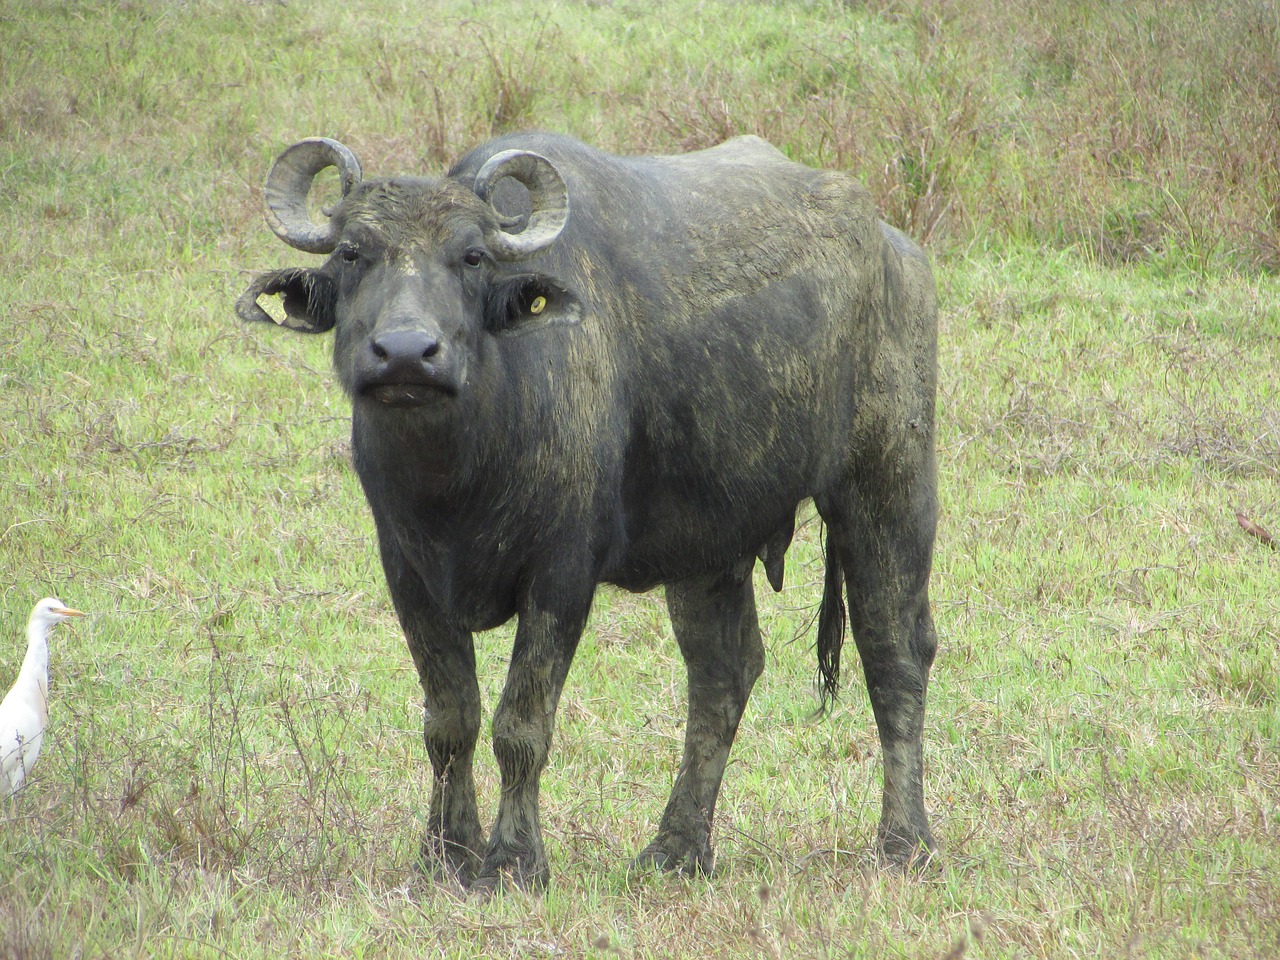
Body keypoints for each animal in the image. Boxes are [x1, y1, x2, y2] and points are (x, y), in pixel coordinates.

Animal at [238, 131, 942, 890]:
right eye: (351, 253)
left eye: (472, 257)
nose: (405, 353)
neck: (460, 470)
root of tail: (895, 249)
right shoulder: (408, 572)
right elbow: (450, 721)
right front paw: (446, 853)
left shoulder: (561, 572)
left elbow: (520, 725)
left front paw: (514, 862)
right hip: (708, 546)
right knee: (723, 674)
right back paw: (677, 848)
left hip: (889, 485)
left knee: (895, 654)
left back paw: (904, 842)